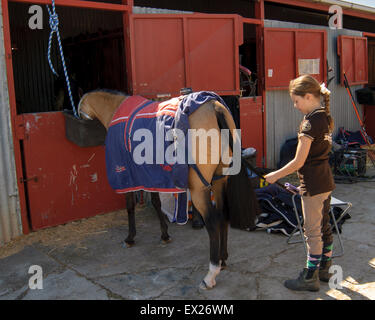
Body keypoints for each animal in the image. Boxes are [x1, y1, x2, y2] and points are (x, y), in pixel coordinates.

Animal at [77, 90, 258, 290]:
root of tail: (214, 107)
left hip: (199, 188)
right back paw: (222, 259)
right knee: (223, 214)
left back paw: (211, 273)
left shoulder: (128, 178)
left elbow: (130, 207)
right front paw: (164, 235)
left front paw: (130, 238)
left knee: (212, 221)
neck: (116, 109)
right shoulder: (150, 176)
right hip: (219, 181)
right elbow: (156, 203)